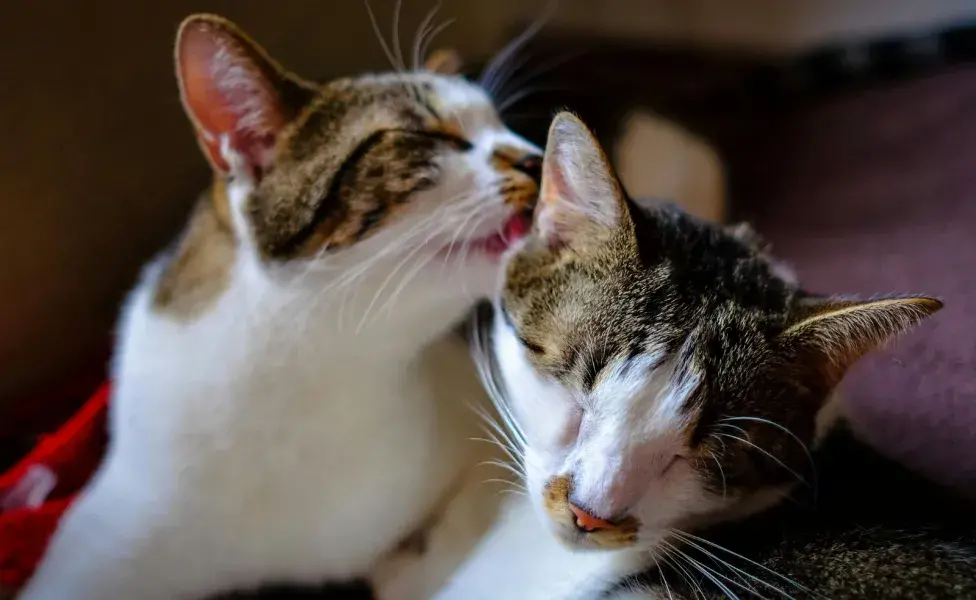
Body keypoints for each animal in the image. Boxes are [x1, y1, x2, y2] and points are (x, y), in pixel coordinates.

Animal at [17, 12, 540, 600]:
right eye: (429, 134)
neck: (317, 363)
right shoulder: (119, 522)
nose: (538, 157)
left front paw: (406, 568)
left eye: (507, 126)